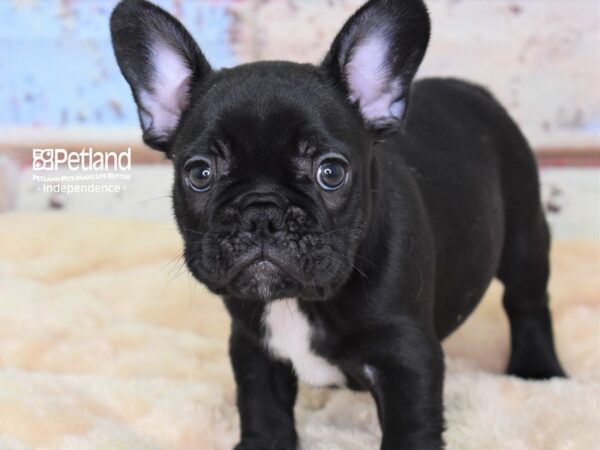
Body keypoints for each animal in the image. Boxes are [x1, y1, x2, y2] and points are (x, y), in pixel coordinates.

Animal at [110, 1, 564, 448]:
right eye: (200, 174)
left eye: (331, 172)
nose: (262, 215)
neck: (298, 301)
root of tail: (475, 90)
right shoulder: (254, 348)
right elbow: (262, 411)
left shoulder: (407, 359)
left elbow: (410, 429)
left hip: (524, 236)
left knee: (527, 302)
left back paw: (539, 370)